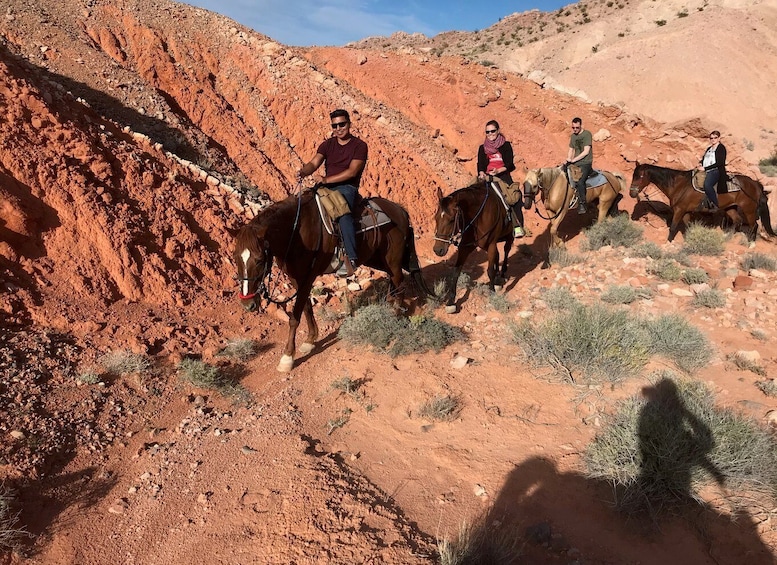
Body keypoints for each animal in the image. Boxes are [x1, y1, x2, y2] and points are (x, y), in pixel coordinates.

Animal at [233, 192, 434, 372]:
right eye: (235, 258)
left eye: (260, 260)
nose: (248, 304)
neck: (296, 233)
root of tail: (400, 210)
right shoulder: (296, 278)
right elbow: (306, 308)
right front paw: (310, 340)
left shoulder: (308, 277)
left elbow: (294, 317)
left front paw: (287, 358)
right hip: (377, 259)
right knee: (394, 282)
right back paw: (389, 305)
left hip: (392, 261)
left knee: (400, 284)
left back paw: (395, 317)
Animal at [434, 181, 512, 312]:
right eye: (435, 218)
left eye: (451, 220)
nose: (437, 250)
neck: (478, 217)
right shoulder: (465, 247)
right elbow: (456, 272)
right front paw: (451, 302)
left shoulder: (491, 245)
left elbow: (489, 270)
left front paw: (491, 292)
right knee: (498, 255)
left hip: (509, 236)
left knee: (506, 251)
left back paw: (501, 276)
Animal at [628, 163, 772, 242]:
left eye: (640, 176)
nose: (632, 193)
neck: (679, 185)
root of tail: (755, 183)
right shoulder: (685, 212)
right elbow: (688, 227)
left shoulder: (679, 210)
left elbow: (673, 227)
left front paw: (668, 243)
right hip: (731, 208)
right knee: (738, 221)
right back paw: (727, 238)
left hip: (749, 210)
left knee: (754, 226)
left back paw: (750, 244)